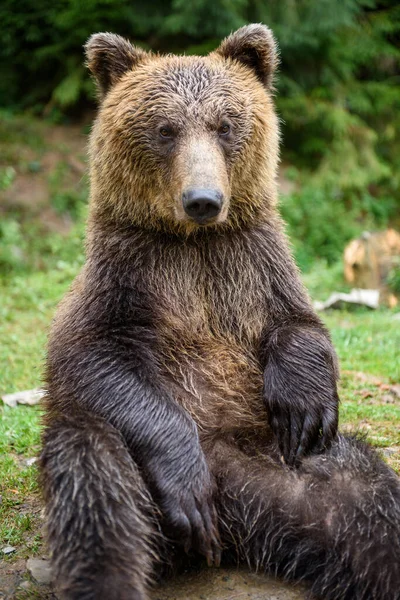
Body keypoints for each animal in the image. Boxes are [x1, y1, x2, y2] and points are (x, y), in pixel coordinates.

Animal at [39, 23, 400, 600]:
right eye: (165, 129)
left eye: (224, 124)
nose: (203, 200)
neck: (193, 243)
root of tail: (235, 510)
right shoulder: (129, 277)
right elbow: (92, 358)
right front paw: (186, 476)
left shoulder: (252, 265)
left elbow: (301, 325)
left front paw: (304, 403)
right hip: (125, 463)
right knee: (96, 480)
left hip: (293, 467)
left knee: (368, 504)